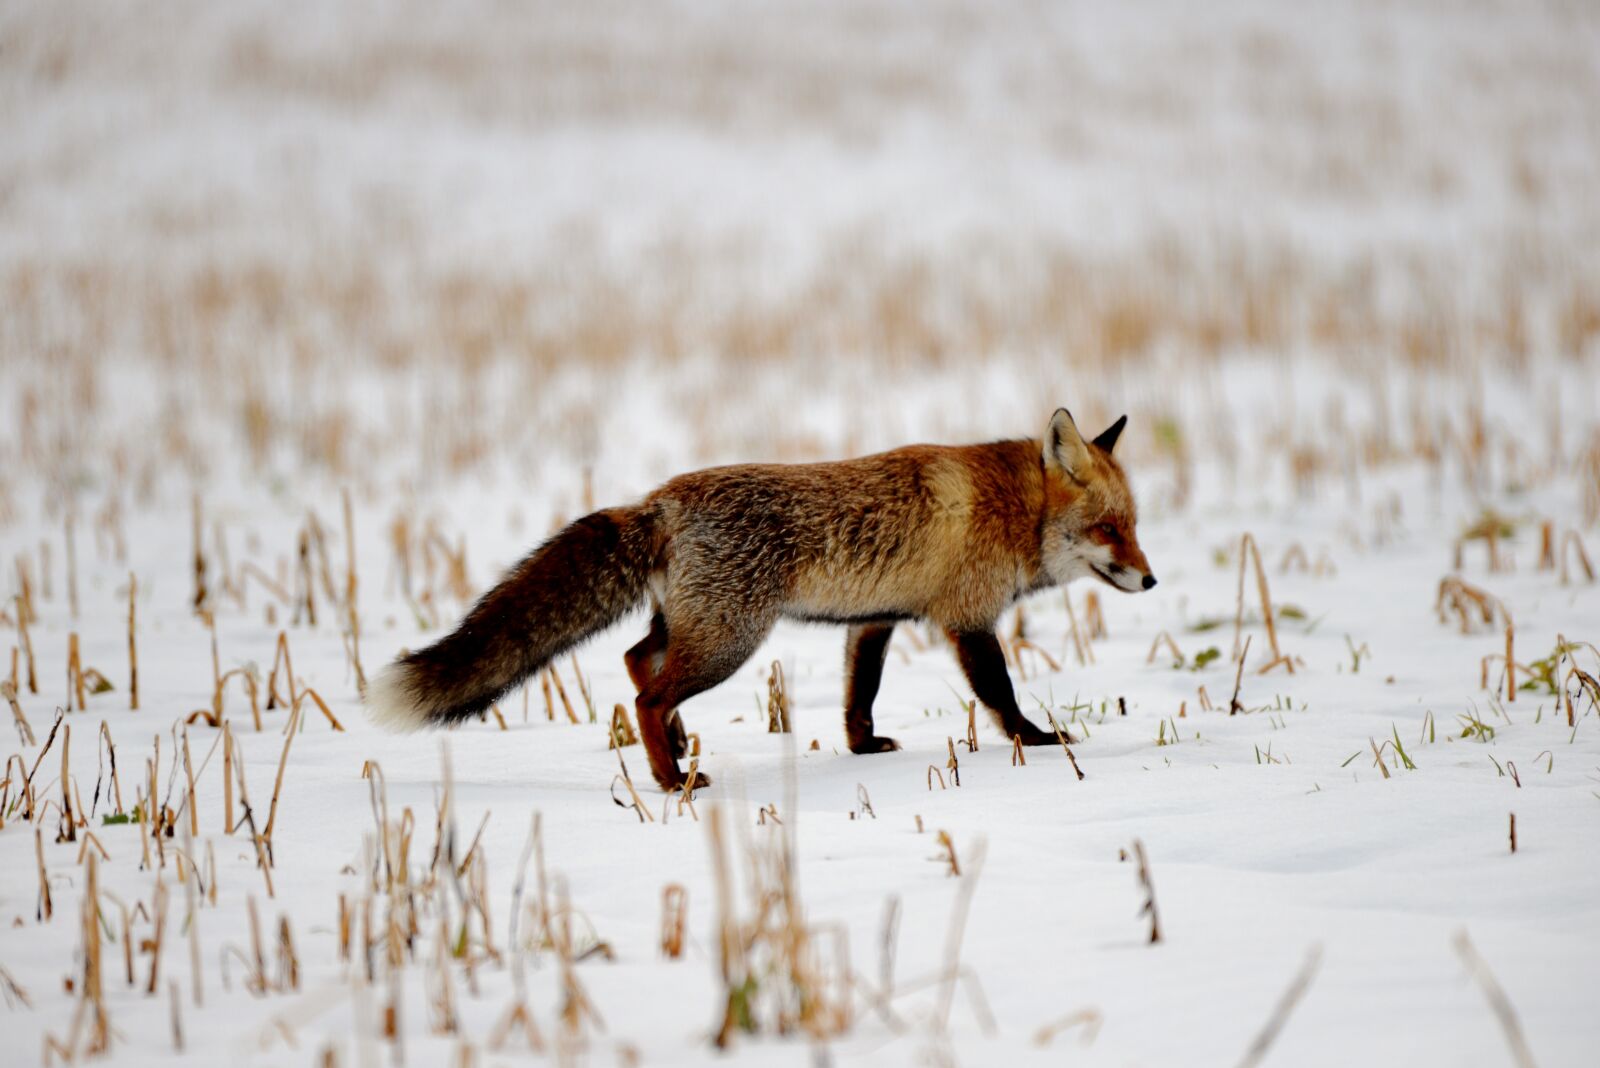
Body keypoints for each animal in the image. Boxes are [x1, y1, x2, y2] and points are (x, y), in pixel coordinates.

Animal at [367, 408, 1156, 790]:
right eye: (1108, 529)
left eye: (1135, 525)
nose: (1150, 581)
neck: (1014, 508)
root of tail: (660, 500)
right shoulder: (968, 618)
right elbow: (1001, 693)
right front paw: (1040, 742)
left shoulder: (872, 622)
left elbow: (859, 695)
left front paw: (863, 750)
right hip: (732, 639)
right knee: (645, 695)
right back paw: (669, 779)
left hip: (698, 626)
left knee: (635, 660)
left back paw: (677, 747)